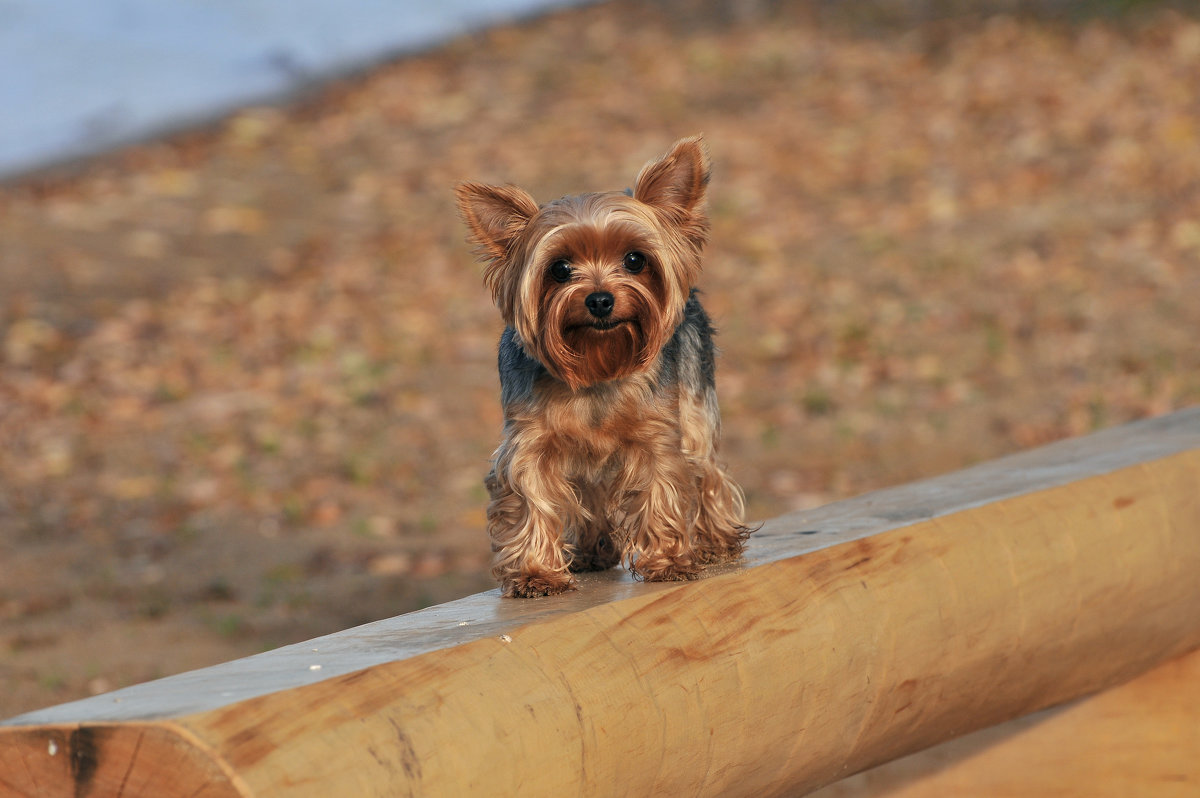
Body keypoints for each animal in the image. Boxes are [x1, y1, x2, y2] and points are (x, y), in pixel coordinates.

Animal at [453, 138, 744, 597]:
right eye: (559, 269)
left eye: (635, 260)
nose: (600, 299)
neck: (597, 364)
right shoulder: (529, 442)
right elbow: (531, 497)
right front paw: (536, 574)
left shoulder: (657, 435)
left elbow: (663, 486)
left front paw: (669, 562)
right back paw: (593, 552)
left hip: (696, 402)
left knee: (706, 468)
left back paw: (716, 540)